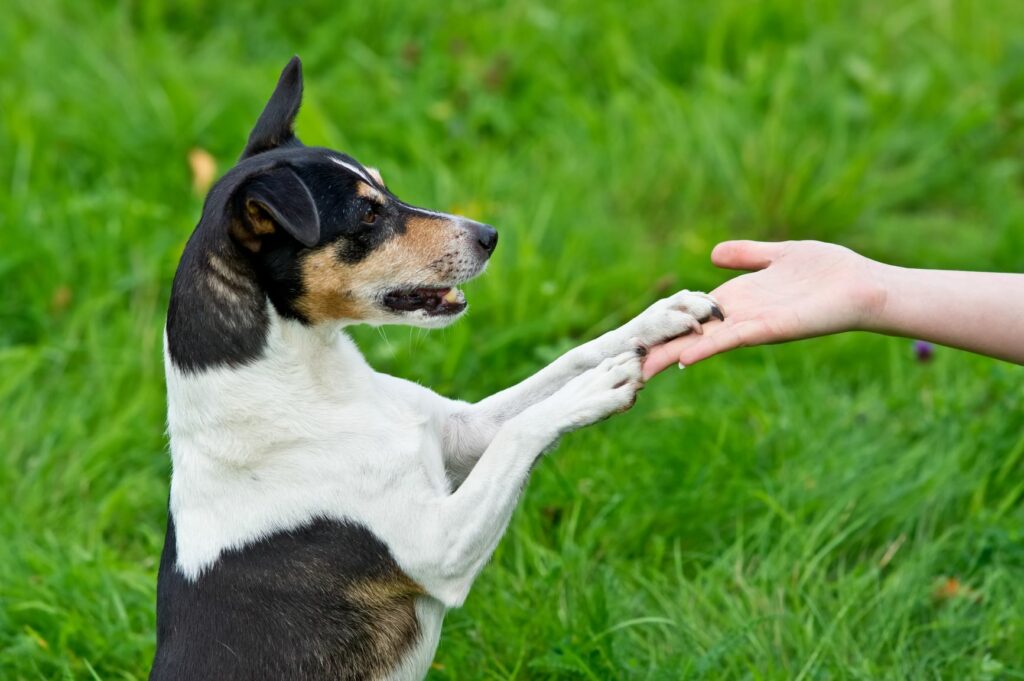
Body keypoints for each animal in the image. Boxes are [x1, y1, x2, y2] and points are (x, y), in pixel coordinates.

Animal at [151, 55, 724, 675]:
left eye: (384, 187)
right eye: (367, 216)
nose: (490, 235)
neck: (313, 386)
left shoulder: (462, 432)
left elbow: (564, 363)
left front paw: (660, 317)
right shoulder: (439, 546)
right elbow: (524, 429)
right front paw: (595, 389)